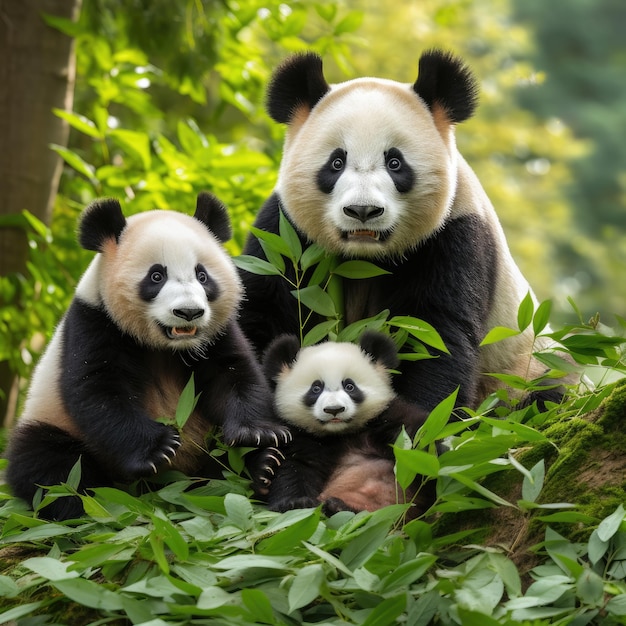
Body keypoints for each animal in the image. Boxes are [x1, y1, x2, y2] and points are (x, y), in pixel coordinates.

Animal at [5, 193, 288, 520]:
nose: (188, 312)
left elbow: (234, 375)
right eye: (156, 276)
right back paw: (91, 502)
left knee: (220, 465)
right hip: (53, 420)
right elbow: (100, 391)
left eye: (202, 275)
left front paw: (257, 434)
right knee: (47, 464)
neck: (165, 347)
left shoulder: (218, 333)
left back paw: (260, 469)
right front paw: (159, 448)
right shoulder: (95, 322)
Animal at [238, 48, 560, 416]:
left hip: (531, 367)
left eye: (395, 163)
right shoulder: (286, 235)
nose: (363, 211)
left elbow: (433, 335)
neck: (364, 259)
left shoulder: (453, 235)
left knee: (544, 397)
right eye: (336, 162)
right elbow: (262, 313)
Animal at [254, 330, 428, 516]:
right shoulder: (302, 436)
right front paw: (296, 503)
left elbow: (418, 442)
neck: (340, 433)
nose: (334, 409)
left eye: (349, 386)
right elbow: (295, 469)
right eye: (316, 388)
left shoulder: (387, 419)